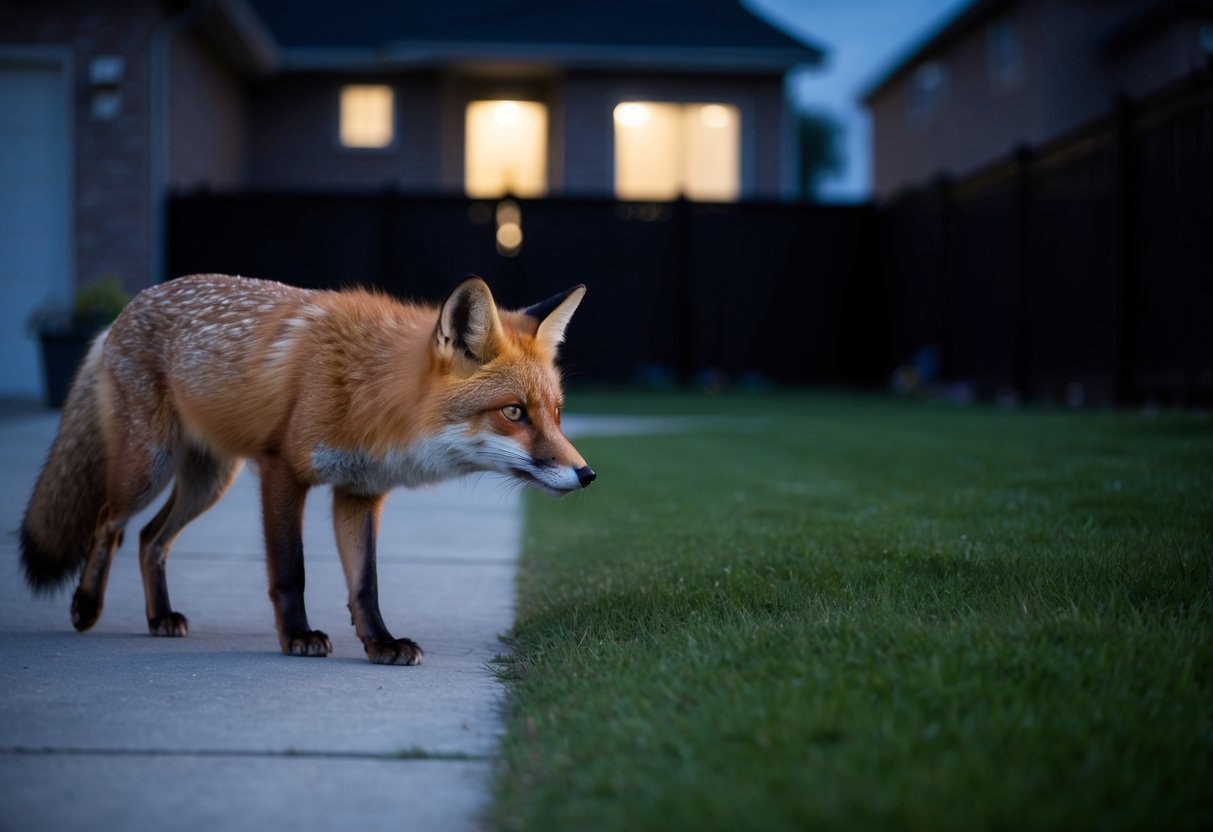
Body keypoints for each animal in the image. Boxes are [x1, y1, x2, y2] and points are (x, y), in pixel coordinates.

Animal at [19, 274, 594, 665]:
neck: (370, 390)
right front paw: (297, 636)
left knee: (149, 539)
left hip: (209, 482)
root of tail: (124, 310)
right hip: (147, 469)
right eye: (514, 412)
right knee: (108, 524)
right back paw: (86, 606)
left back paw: (159, 616)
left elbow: (365, 585)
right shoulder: (282, 471)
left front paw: (380, 643)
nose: (587, 476)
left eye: (556, 413)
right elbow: (289, 570)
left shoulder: (359, 492)